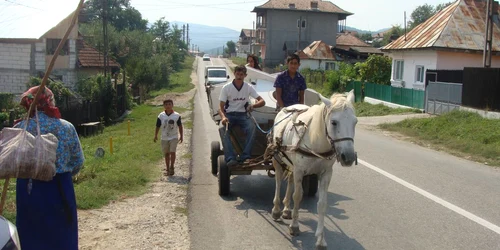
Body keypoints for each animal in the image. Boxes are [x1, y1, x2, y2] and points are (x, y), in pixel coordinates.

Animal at [272, 91, 358, 249]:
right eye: (334, 122)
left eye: (355, 122)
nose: (348, 157)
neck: (315, 140)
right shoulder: (300, 171)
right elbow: (297, 196)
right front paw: (294, 226)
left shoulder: (326, 174)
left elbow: (322, 204)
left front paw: (320, 239)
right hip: (277, 158)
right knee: (279, 181)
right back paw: (276, 210)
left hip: (292, 164)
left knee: (290, 181)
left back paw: (286, 210)